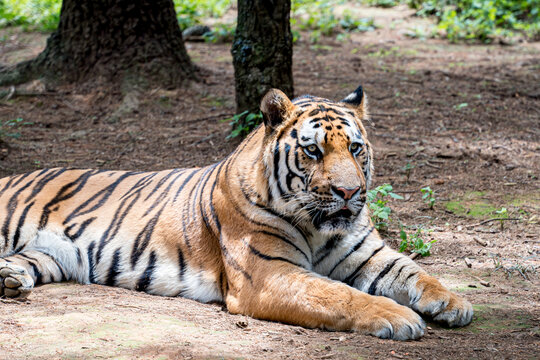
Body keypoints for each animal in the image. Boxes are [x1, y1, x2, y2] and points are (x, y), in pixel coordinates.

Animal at [0, 86, 472, 338]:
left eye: (355, 148)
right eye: (313, 151)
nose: (349, 191)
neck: (321, 227)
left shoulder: (368, 253)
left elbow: (413, 271)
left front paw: (455, 303)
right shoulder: (269, 274)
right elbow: (338, 294)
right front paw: (399, 316)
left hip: (53, 256)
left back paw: (10, 280)